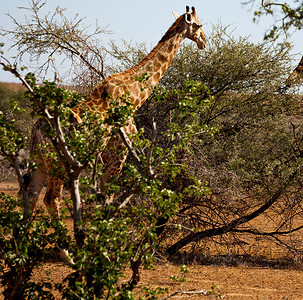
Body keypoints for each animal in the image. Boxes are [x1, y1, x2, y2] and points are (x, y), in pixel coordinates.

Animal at [26, 6, 207, 216]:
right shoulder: (117, 156)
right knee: (51, 199)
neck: (134, 97)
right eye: (199, 25)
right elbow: (108, 200)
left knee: (30, 196)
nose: (204, 42)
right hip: (58, 162)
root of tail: (37, 129)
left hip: (39, 159)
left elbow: (104, 199)